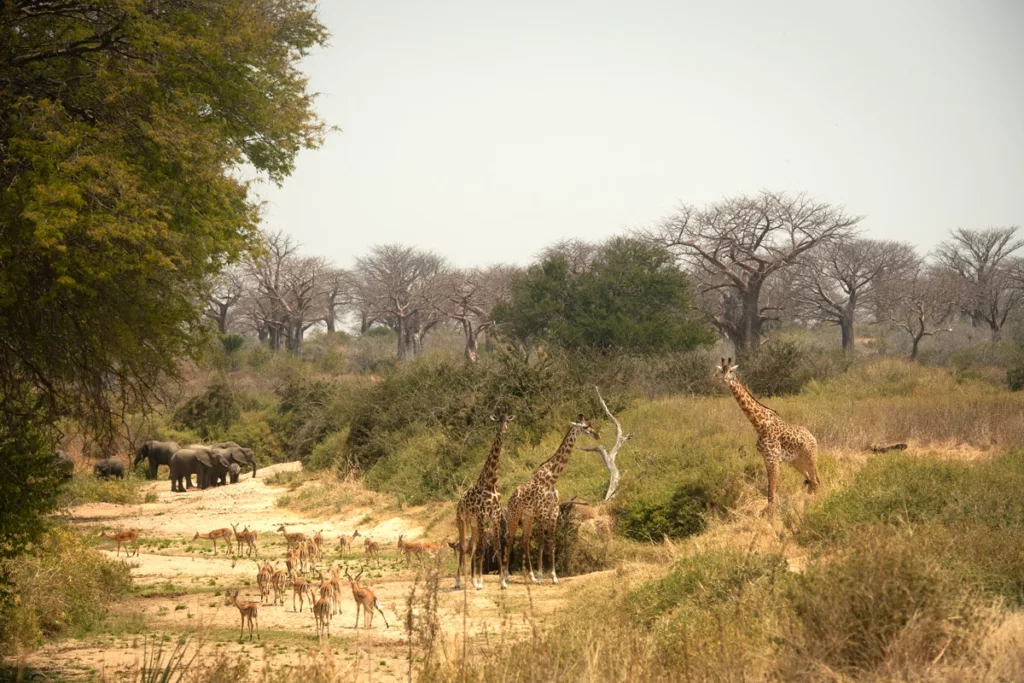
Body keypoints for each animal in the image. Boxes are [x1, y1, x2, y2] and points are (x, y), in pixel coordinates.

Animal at [456, 413, 516, 589]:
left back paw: (470, 580)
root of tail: (458, 503)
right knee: (462, 546)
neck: (491, 482)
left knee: (472, 546)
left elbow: (497, 547)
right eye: (498, 421)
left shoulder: (494, 514)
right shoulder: (483, 514)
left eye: (507, 420)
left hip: (474, 524)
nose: (504, 429)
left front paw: (502, 582)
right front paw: (480, 583)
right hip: (461, 521)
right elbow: (483, 549)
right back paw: (459, 581)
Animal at [497, 413, 598, 589]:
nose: (596, 434)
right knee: (509, 540)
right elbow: (542, 543)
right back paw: (506, 578)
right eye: (585, 427)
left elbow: (551, 543)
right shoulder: (542, 512)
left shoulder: (553, 513)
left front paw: (553, 576)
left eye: (590, 424)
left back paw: (529, 576)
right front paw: (540, 577)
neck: (552, 478)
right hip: (514, 516)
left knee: (524, 541)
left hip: (528, 517)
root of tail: (510, 498)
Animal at [716, 356, 819, 520]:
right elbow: (769, 491)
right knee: (811, 481)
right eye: (722, 371)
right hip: (797, 462)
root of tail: (813, 437)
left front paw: (770, 520)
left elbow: (771, 492)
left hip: (811, 458)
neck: (759, 423)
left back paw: (812, 507)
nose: (725, 380)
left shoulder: (773, 459)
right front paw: (768, 517)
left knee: (815, 481)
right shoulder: (766, 458)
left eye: (731, 371)